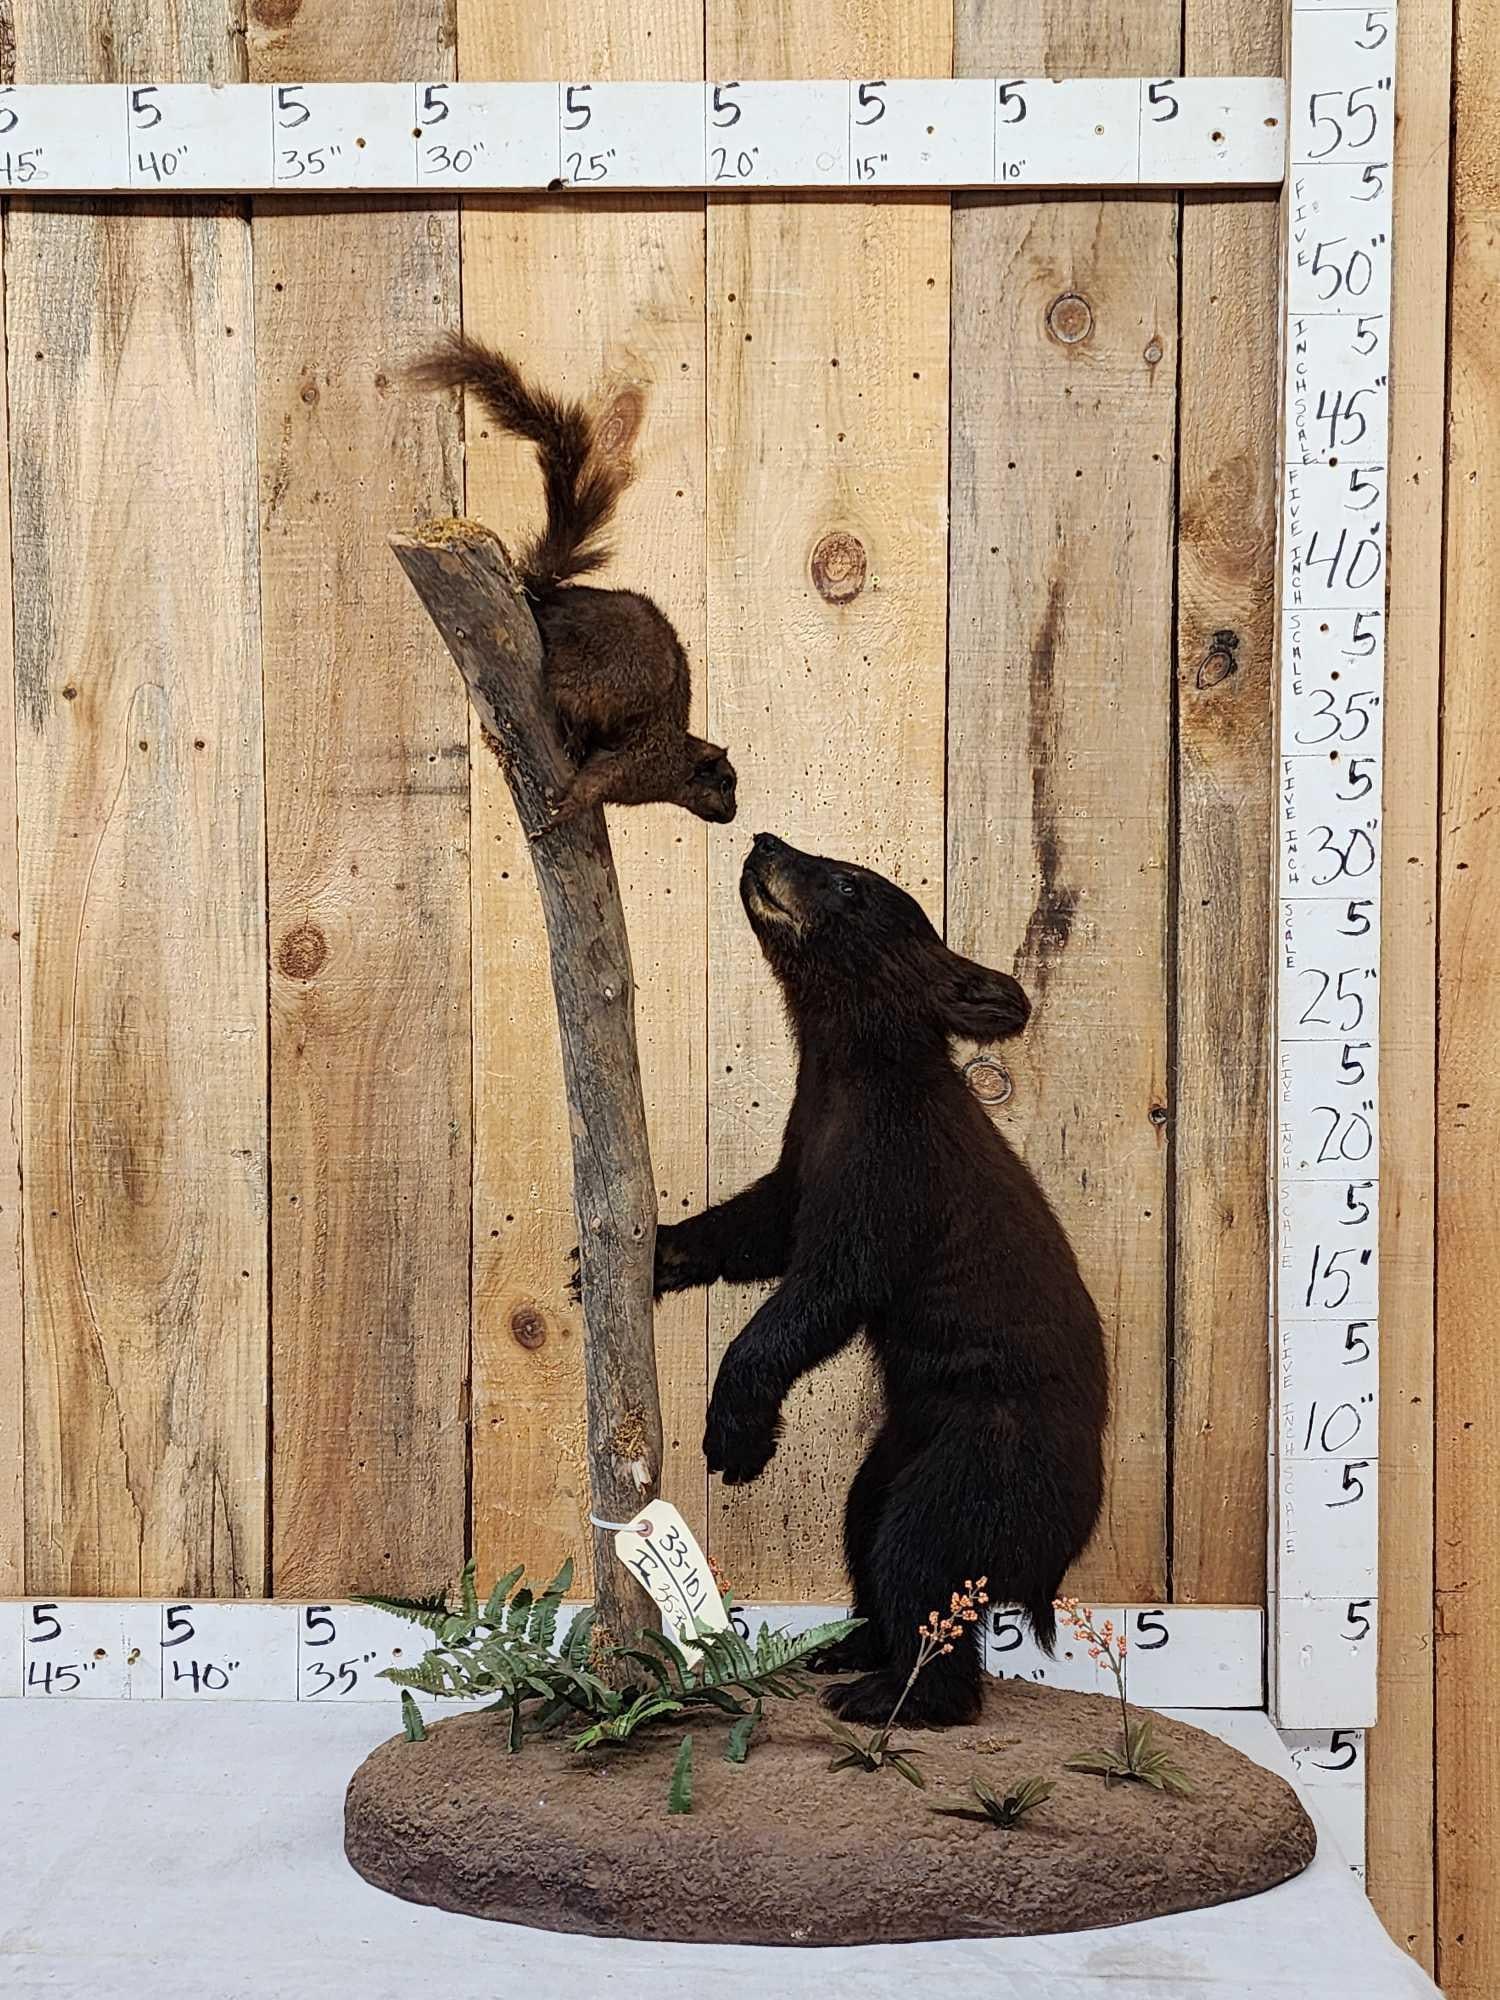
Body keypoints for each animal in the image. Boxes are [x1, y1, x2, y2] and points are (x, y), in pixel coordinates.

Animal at [411, 334, 737, 837]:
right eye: (724, 783)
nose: (734, 812)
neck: (673, 759)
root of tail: (541, 601)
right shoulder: (636, 764)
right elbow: (594, 783)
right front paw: (564, 811)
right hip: (591, 676)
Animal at [653, 832, 1109, 1726]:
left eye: (849, 883)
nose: (764, 840)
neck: (848, 1070)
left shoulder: (893, 1168)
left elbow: (830, 1286)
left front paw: (736, 1432)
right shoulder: (809, 1141)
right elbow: (763, 1224)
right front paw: (656, 1251)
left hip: (984, 1452)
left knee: (920, 1552)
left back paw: (895, 1690)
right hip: (899, 1446)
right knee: (863, 1525)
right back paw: (853, 1647)